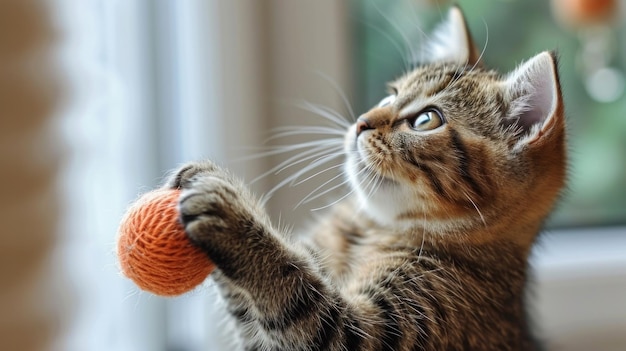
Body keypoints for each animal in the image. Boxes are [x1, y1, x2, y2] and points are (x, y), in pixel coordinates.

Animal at [166, 6, 564, 351]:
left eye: (426, 119)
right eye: (391, 95)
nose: (361, 121)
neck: (372, 226)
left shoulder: (379, 328)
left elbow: (299, 294)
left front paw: (233, 217)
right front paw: (199, 177)